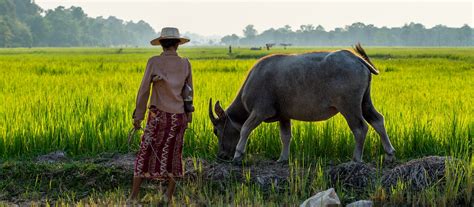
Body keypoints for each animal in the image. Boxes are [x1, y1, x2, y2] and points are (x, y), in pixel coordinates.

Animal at [211, 43, 396, 163]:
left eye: (216, 130)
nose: (221, 156)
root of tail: (357, 59)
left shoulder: (259, 112)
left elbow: (245, 129)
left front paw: (238, 155)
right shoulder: (284, 116)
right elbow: (285, 137)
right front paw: (282, 158)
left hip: (349, 106)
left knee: (360, 128)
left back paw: (356, 158)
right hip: (365, 102)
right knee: (378, 120)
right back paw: (389, 154)